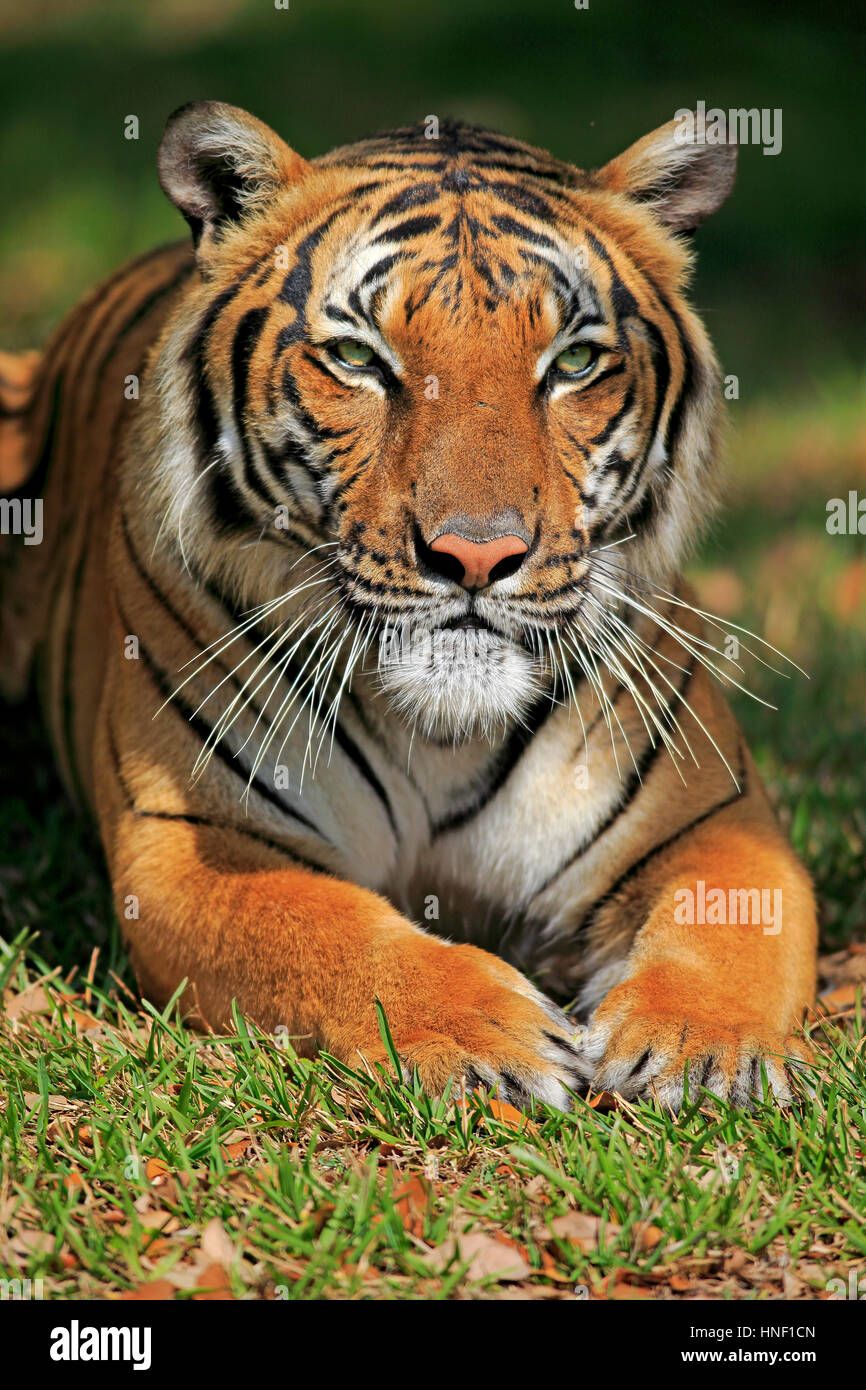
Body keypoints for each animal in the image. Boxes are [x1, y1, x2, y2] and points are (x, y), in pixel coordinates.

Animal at [0, 100, 817, 1106]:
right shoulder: (197, 839)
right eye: (358, 357)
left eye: (576, 361)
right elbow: (333, 932)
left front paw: (705, 1046)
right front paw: (489, 1031)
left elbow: (729, 923)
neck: (441, 735)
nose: (477, 555)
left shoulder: (715, 820)